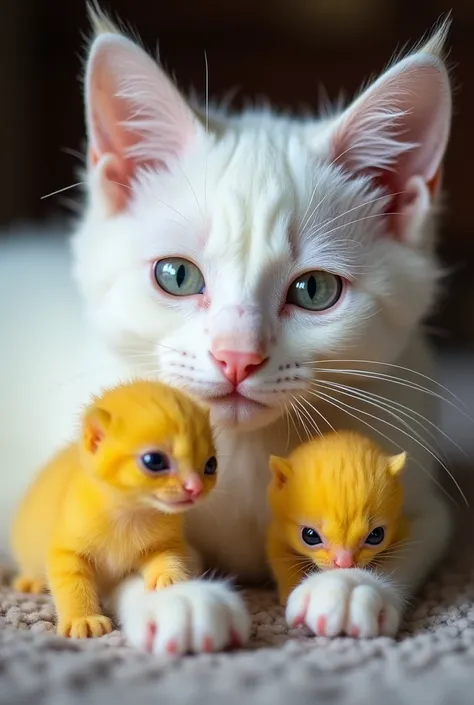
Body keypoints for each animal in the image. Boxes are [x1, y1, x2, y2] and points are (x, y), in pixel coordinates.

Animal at [10, 380, 217, 640]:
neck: (129, 514)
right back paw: (31, 581)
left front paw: (171, 576)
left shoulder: (164, 540)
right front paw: (83, 619)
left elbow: (169, 555)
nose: (195, 488)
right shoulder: (67, 550)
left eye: (210, 465)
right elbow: (72, 583)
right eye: (154, 460)